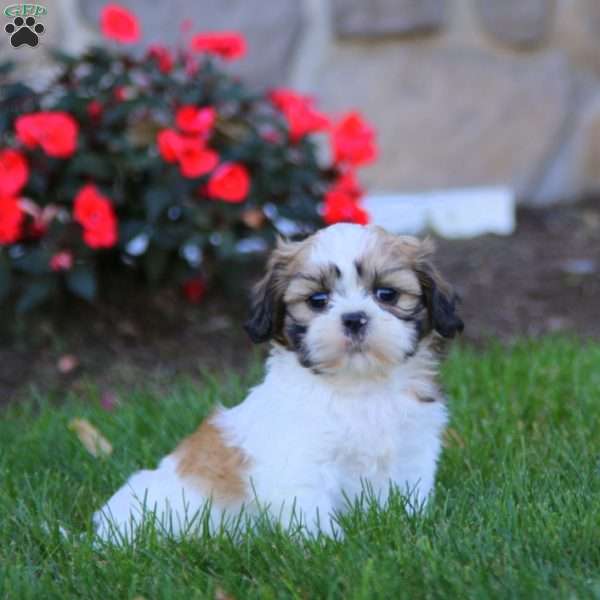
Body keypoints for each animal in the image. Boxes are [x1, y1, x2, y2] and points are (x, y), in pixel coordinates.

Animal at [94, 223, 464, 540]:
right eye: (317, 301)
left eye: (387, 294)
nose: (354, 319)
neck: (359, 387)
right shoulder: (301, 467)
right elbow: (313, 515)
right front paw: (329, 546)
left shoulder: (412, 451)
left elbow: (409, 495)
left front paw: (410, 525)